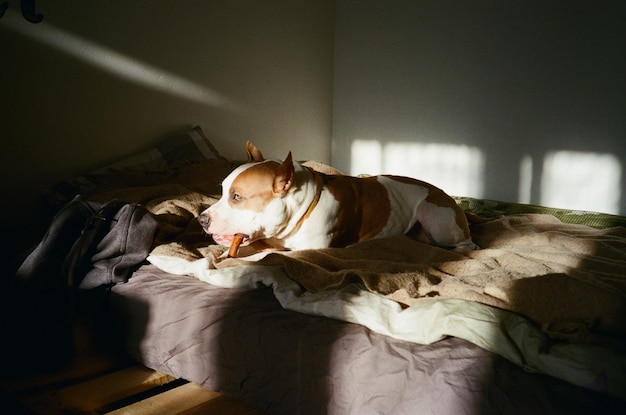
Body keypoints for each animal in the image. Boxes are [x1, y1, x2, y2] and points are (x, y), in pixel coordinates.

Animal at [197, 141, 476, 255]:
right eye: (222, 191)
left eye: (237, 196)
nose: (201, 219)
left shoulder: (309, 249)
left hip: (436, 217)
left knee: (468, 245)